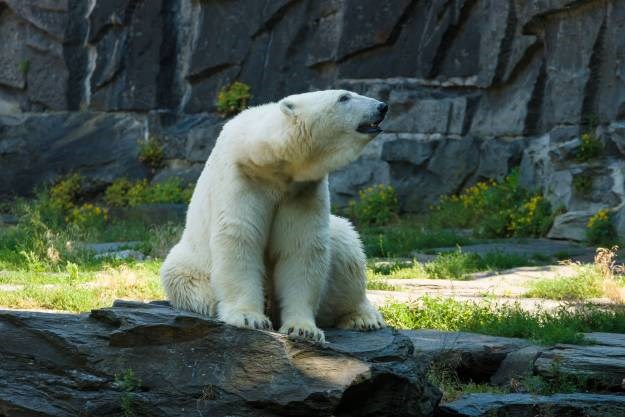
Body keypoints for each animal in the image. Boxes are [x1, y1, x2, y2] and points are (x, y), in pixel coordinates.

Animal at [161, 89, 386, 340]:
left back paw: (364, 318)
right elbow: (239, 238)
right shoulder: (242, 178)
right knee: (183, 277)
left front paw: (303, 329)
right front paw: (250, 317)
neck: (270, 162)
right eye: (344, 97)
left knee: (345, 247)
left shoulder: (303, 189)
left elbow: (301, 248)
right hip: (188, 264)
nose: (382, 106)